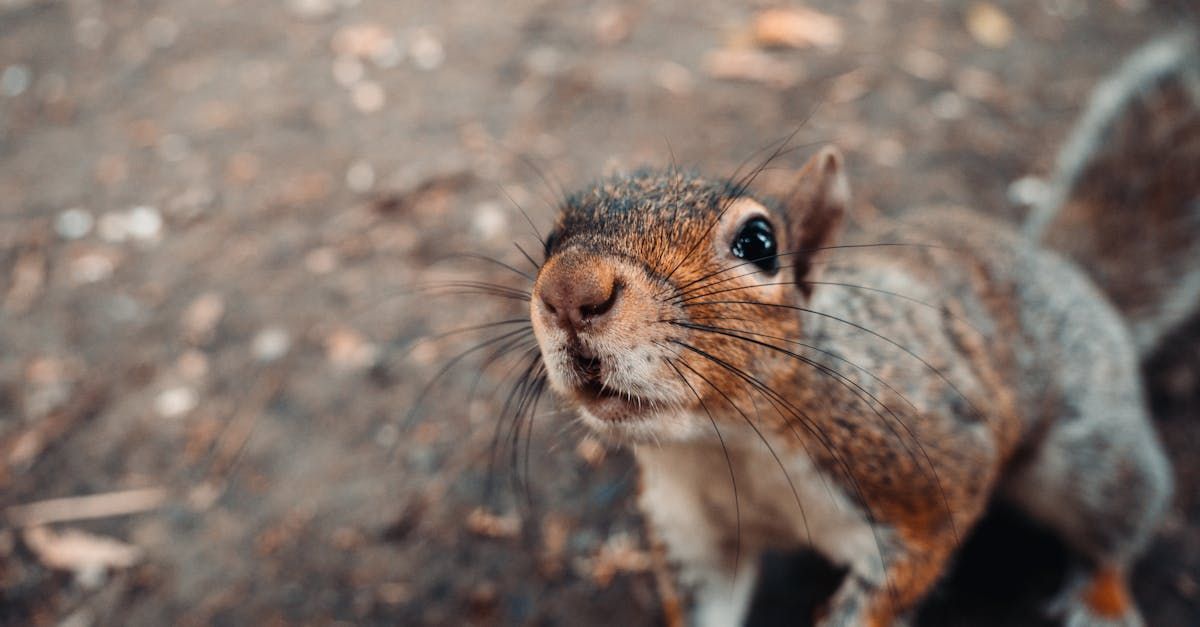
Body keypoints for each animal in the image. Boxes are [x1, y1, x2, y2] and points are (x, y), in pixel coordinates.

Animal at [523, 30, 1190, 624]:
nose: (569, 290)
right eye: (550, 239)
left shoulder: (928, 483)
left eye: (759, 242)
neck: (726, 440)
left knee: (1119, 518)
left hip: (1087, 452)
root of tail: (1066, 269)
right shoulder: (694, 529)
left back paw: (1102, 599)